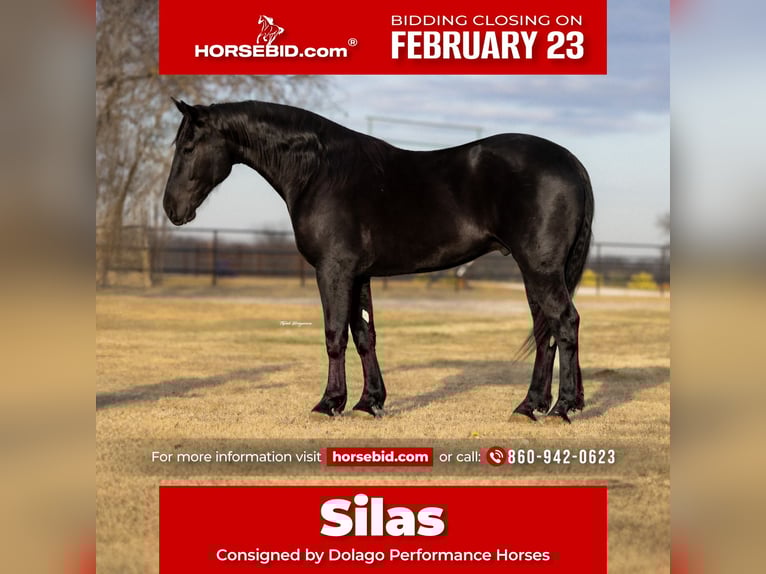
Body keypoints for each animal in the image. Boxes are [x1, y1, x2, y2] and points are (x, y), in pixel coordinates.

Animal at [162, 99, 594, 423]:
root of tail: (572, 162)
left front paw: (329, 403)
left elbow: (335, 335)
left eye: (187, 148)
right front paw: (369, 402)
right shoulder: (359, 274)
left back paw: (561, 408)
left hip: (539, 267)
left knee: (565, 322)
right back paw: (530, 406)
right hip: (535, 270)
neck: (320, 171)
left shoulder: (333, 270)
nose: (171, 209)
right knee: (544, 329)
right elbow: (363, 334)